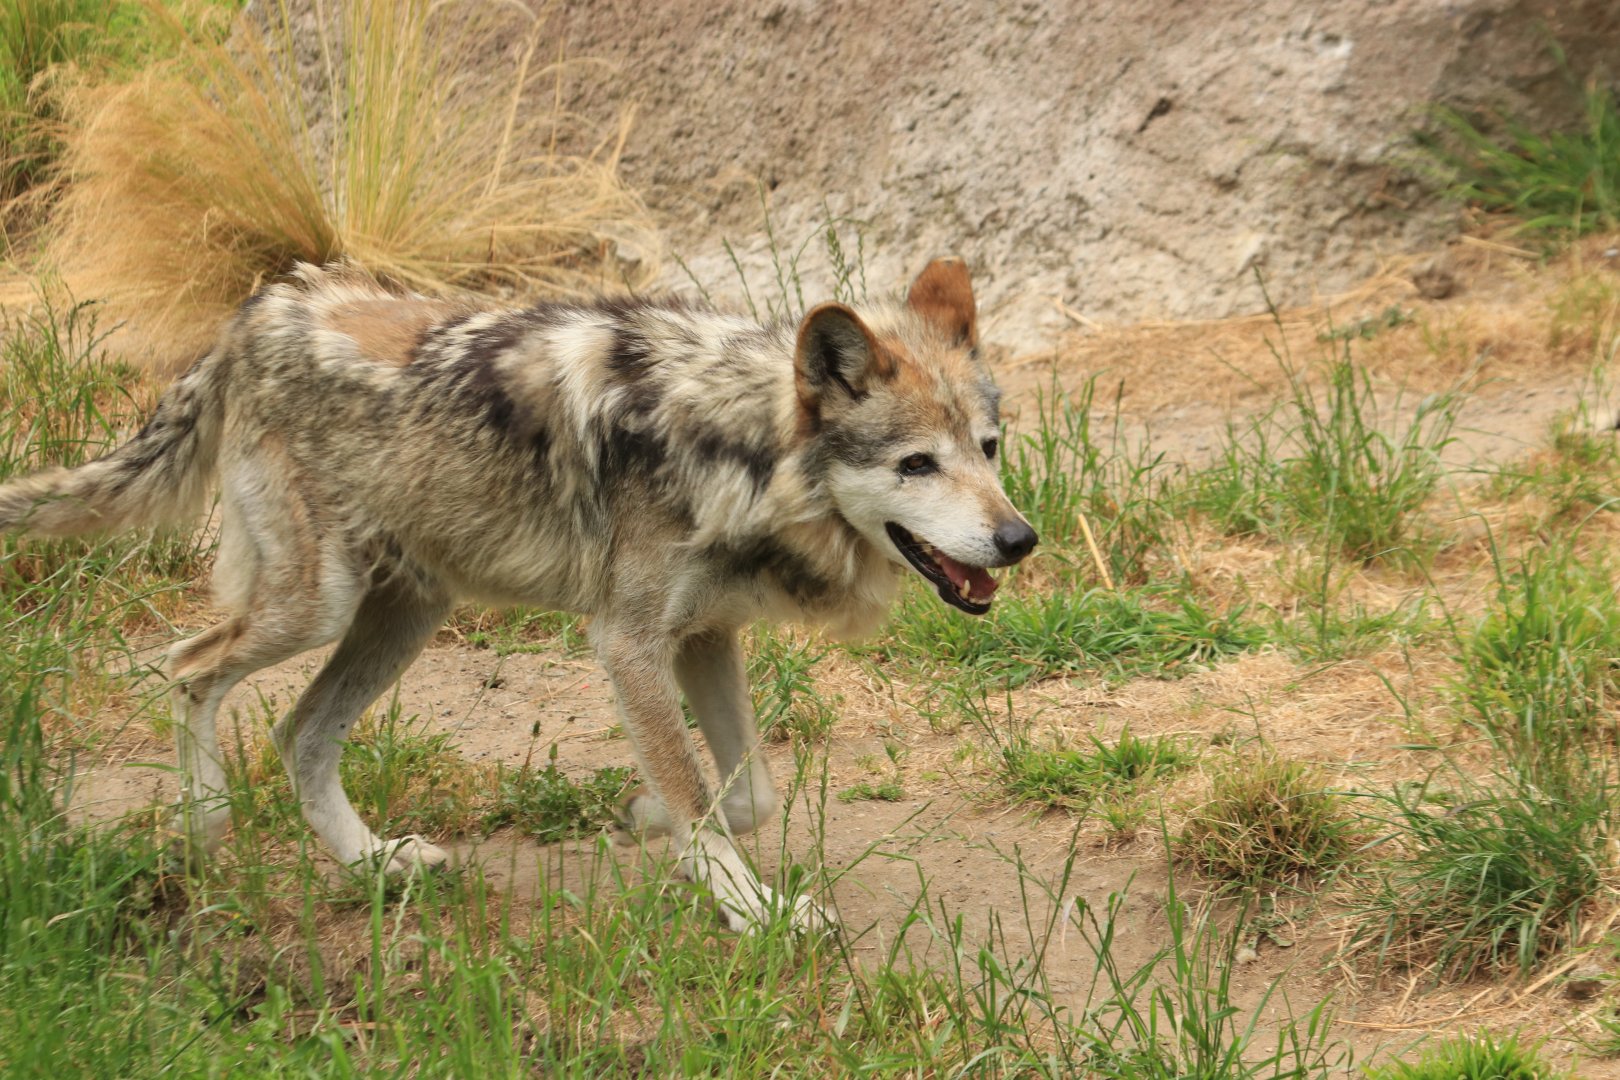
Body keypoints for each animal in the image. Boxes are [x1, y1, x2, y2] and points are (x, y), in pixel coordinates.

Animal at [0, 257, 1036, 931]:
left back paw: (375, 865)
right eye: (916, 465)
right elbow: (702, 793)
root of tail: (256, 311)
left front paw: (649, 821)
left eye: (988, 450)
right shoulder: (627, 643)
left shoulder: (704, 637)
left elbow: (744, 793)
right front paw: (756, 910)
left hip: (401, 619)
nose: (1020, 540)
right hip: (317, 608)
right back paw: (206, 826)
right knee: (187, 667)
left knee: (298, 736)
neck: (736, 443)